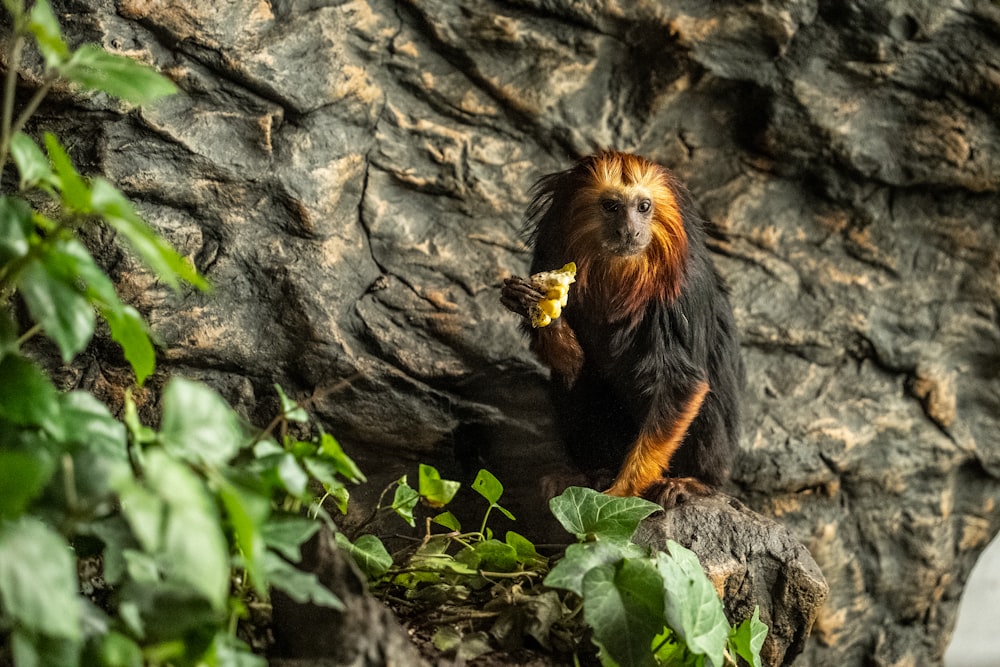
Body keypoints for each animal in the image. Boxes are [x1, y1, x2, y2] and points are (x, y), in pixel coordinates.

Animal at [500, 151, 744, 506]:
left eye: (643, 206)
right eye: (611, 206)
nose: (629, 230)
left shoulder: (684, 289)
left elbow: (681, 384)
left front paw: (622, 493)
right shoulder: (550, 253)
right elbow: (573, 366)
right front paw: (540, 302)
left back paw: (694, 483)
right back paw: (589, 473)